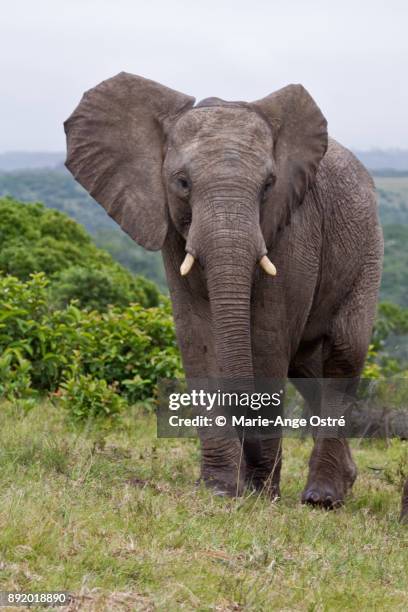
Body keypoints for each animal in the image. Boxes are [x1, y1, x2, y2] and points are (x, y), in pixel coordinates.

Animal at [64, 70, 398, 512]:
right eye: (182, 183)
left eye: (269, 185)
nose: (251, 480)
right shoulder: (172, 230)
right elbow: (197, 337)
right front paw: (222, 490)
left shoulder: (295, 224)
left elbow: (269, 341)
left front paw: (261, 494)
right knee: (308, 369)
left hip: (369, 252)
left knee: (343, 354)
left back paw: (322, 498)